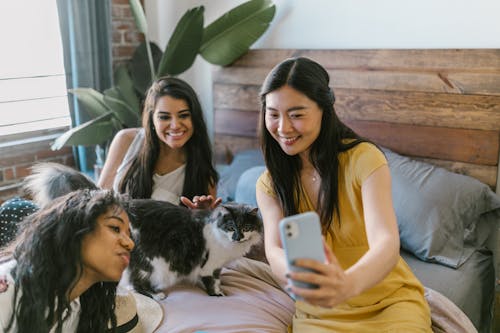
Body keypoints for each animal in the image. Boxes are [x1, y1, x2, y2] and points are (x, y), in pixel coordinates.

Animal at [23, 162, 264, 296]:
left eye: (246, 226)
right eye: (231, 226)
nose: (238, 236)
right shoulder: (210, 265)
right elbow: (212, 283)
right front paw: (218, 295)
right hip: (153, 263)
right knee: (134, 283)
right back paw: (157, 296)